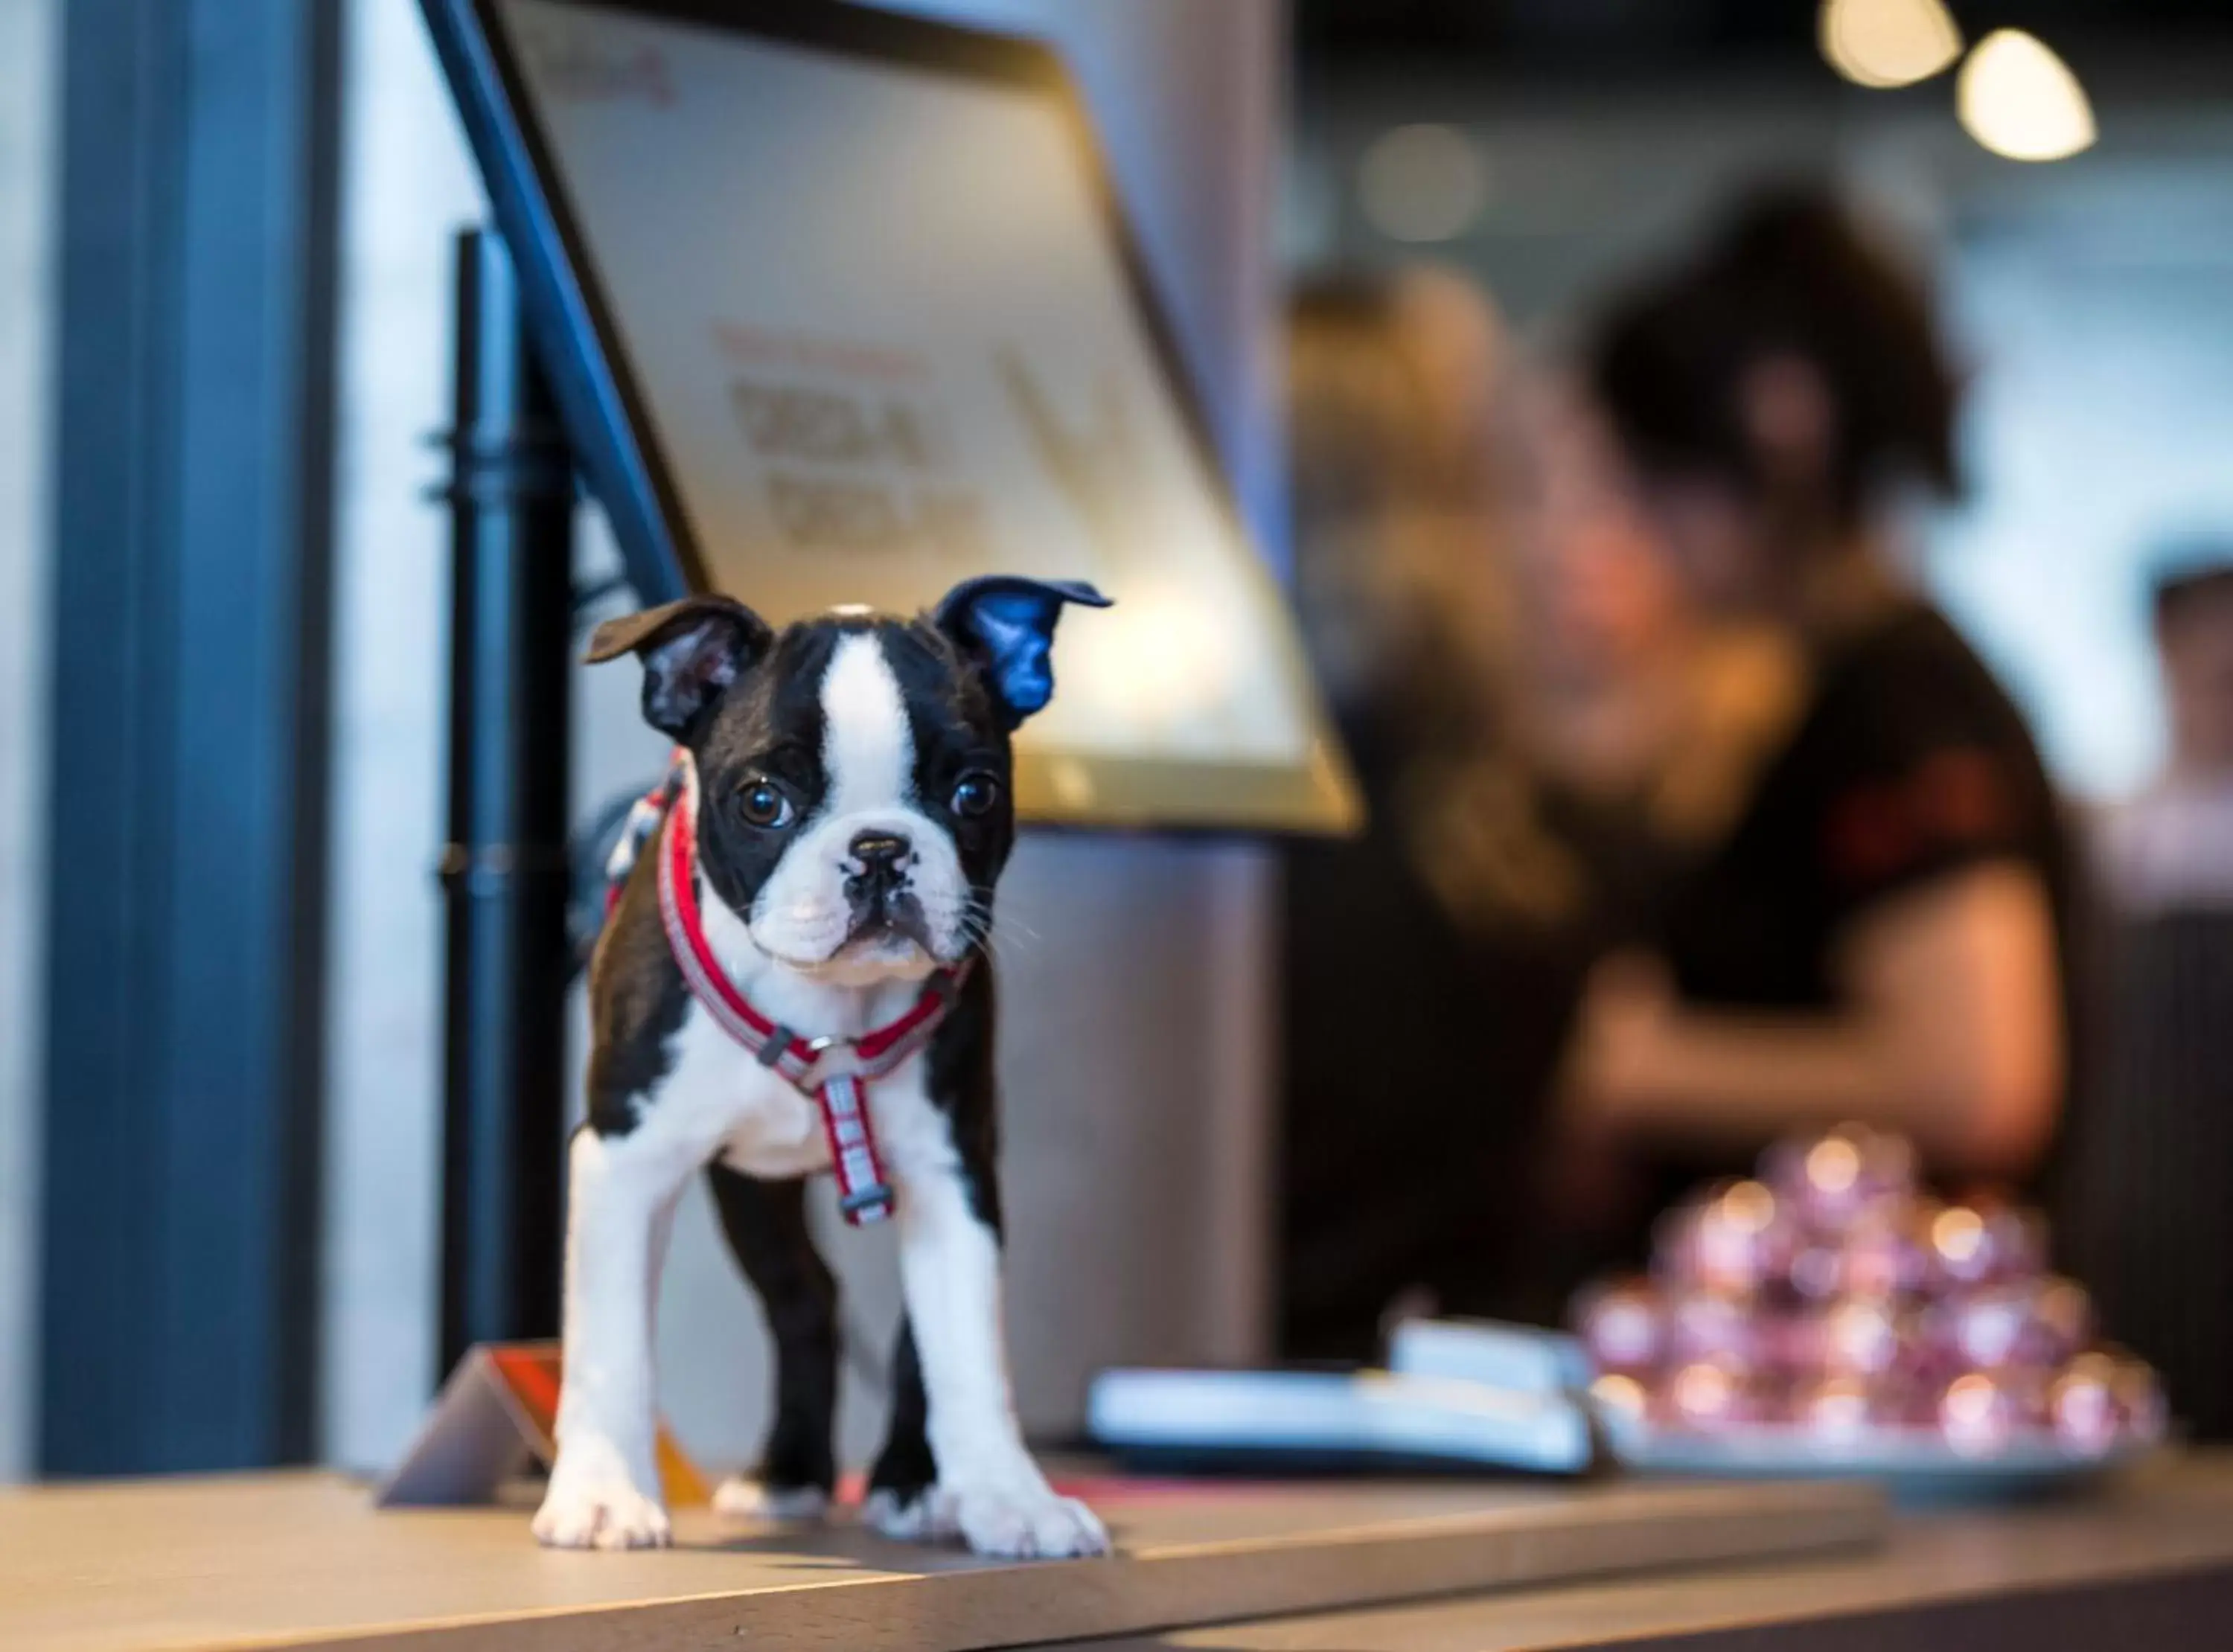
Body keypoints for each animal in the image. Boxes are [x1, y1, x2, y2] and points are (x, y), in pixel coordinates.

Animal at [531, 576, 1108, 1563]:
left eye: (975, 791)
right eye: (763, 801)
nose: (879, 850)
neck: (829, 1018)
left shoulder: (955, 1169)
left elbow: (966, 1352)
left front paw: (1009, 1496)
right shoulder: (623, 1158)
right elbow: (611, 1343)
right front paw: (606, 1495)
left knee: (897, 1333)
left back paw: (911, 1482)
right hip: (749, 1193)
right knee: (805, 1302)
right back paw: (788, 1475)